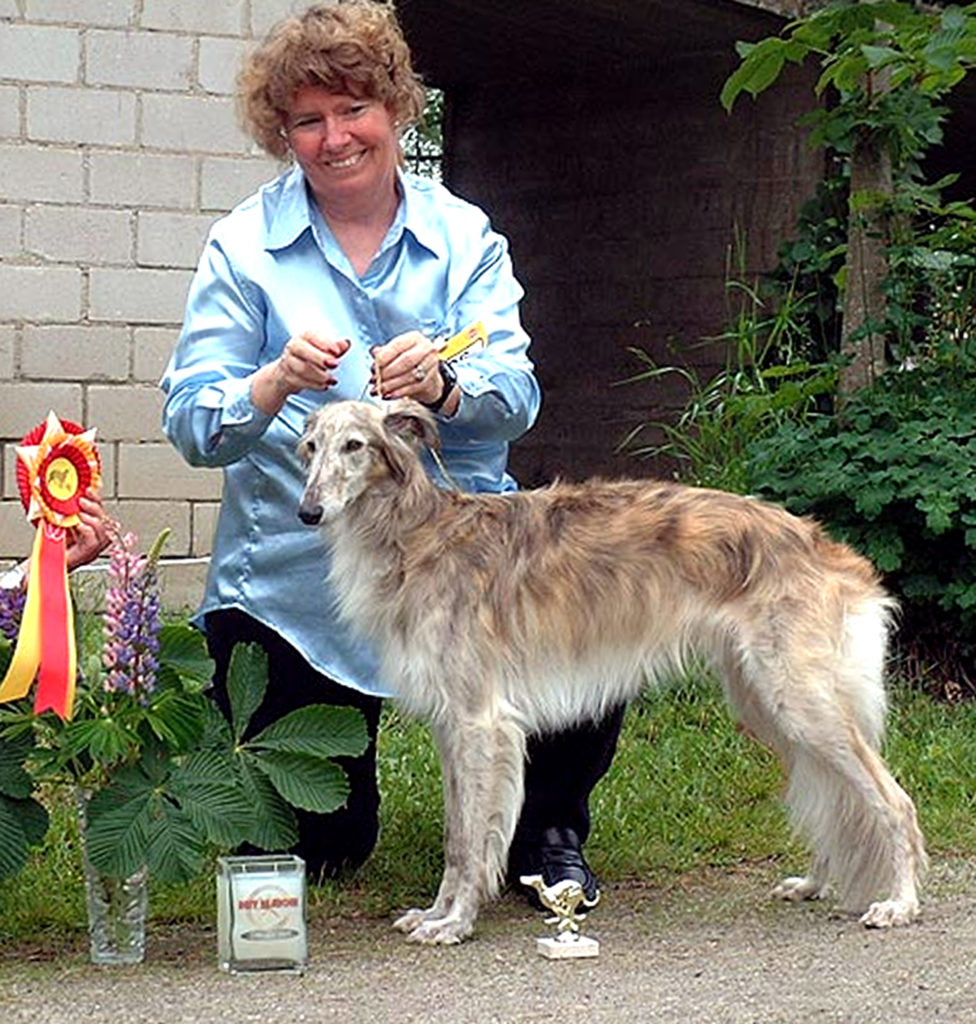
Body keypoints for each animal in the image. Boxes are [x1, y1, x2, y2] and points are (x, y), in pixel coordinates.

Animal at [294, 399, 921, 942]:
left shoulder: (481, 722)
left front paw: (455, 923)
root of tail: (827, 547)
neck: (418, 534)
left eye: (354, 445)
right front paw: (435, 913)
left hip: (801, 701)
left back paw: (900, 902)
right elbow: (457, 836)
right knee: (834, 797)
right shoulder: (453, 728)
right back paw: (815, 882)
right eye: (310, 446)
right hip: (769, 707)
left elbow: (472, 841)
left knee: (892, 801)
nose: (308, 511)